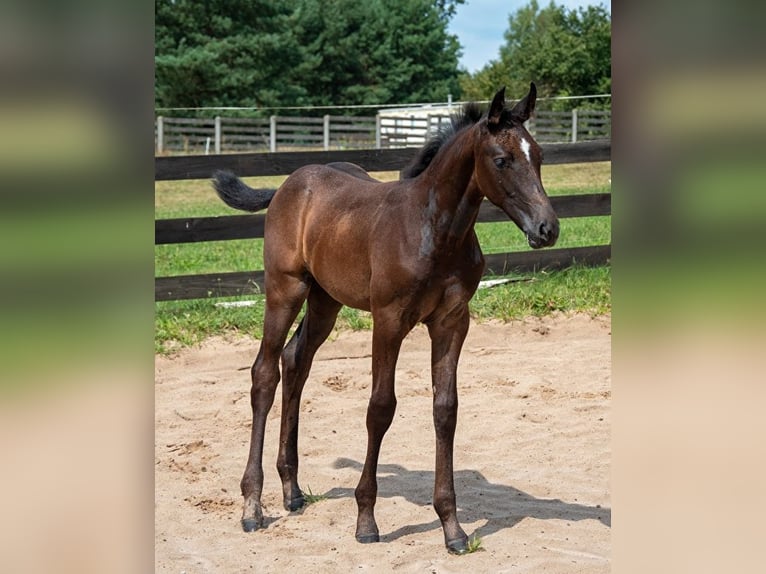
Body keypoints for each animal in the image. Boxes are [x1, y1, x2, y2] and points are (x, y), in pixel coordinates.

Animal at [213, 83, 560, 556]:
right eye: (501, 159)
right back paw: (252, 505)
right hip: (285, 289)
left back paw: (292, 491)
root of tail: (290, 183)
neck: (434, 229)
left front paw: (452, 528)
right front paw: (366, 520)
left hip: (325, 301)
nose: (548, 229)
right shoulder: (389, 320)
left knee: (295, 361)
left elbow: (445, 409)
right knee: (264, 372)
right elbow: (380, 408)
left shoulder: (452, 321)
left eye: (538, 155)